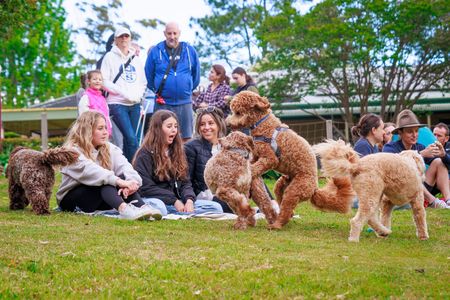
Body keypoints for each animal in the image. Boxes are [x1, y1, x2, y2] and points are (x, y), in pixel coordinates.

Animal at [225, 91, 356, 230]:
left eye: (238, 112)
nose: (228, 124)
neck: (262, 123)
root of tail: (314, 189)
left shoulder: (270, 158)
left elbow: (256, 167)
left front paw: (248, 174)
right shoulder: (256, 156)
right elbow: (254, 165)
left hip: (295, 189)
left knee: (286, 210)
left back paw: (276, 225)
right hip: (282, 183)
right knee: (282, 200)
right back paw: (286, 214)